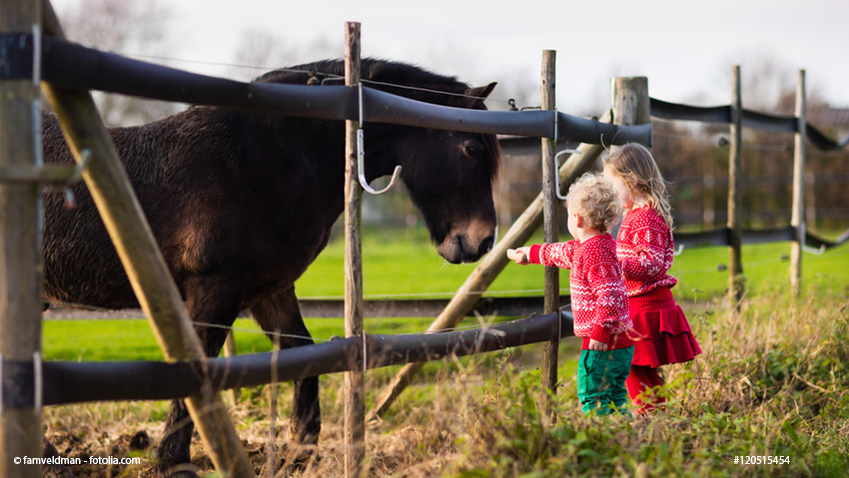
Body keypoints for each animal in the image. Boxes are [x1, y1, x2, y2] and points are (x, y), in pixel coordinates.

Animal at [39, 58, 500, 474]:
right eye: (472, 148)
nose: (483, 240)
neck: (270, 156)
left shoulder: (270, 289)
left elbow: (303, 356)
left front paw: (298, 451)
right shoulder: (215, 289)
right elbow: (196, 374)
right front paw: (173, 461)